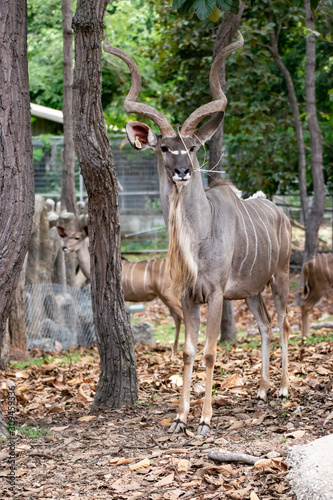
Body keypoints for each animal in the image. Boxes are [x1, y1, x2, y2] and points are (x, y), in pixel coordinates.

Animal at [105, 31, 292, 436]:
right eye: (163, 147)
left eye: (191, 147)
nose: (182, 171)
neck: (198, 238)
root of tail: (282, 214)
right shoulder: (188, 296)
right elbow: (189, 352)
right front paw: (179, 418)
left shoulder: (216, 294)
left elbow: (208, 351)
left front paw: (205, 420)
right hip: (252, 292)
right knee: (266, 326)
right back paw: (262, 392)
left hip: (281, 275)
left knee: (284, 322)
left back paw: (284, 390)